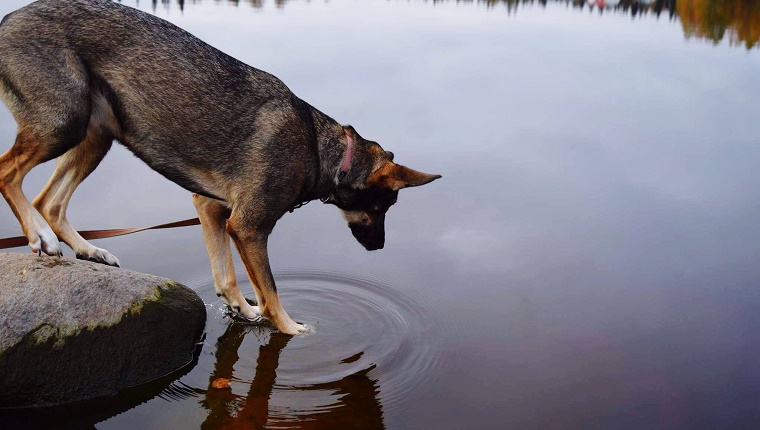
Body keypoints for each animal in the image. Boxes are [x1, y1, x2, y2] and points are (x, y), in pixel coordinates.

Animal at [0, 0, 440, 334]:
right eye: (381, 208)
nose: (379, 247)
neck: (322, 151)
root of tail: (9, 20)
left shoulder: (211, 208)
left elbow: (227, 277)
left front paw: (244, 310)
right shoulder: (247, 227)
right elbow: (271, 291)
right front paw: (290, 328)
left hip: (94, 136)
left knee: (50, 201)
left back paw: (87, 248)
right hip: (64, 122)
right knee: (9, 174)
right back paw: (39, 237)